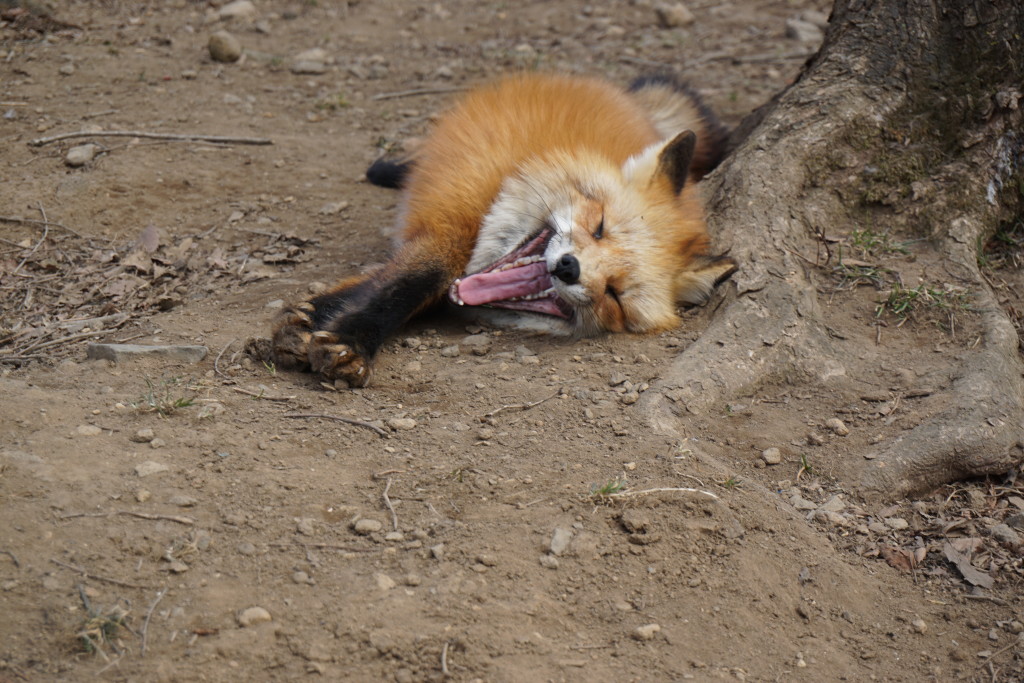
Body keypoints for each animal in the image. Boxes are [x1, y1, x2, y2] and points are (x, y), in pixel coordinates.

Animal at [272, 73, 737, 389]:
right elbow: (406, 282)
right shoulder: (448, 225)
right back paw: (388, 169)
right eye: (599, 227)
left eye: (614, 296)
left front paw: (326, 327)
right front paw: (336, 329)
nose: (569, 268)